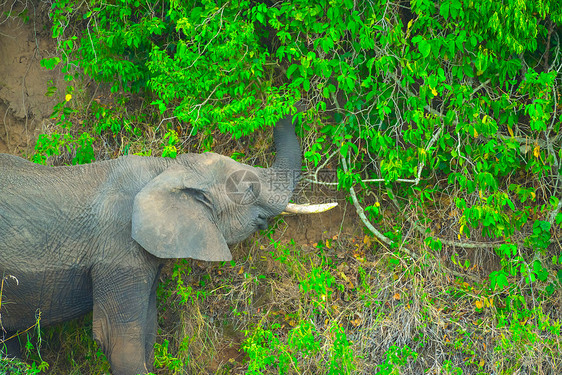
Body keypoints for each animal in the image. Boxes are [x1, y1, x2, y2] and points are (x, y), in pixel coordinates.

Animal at [0, 116, 318, 374]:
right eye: (250, 189)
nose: (289, 109)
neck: (166, 167)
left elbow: (148, 332)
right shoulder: (118, 250)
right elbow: (119, 342)